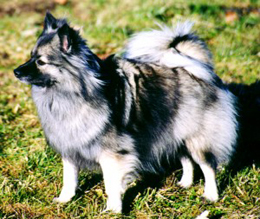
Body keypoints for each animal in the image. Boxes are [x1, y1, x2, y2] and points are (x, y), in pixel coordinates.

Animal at [13, 12, 238, 212]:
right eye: (31, 57)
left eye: (41, 61)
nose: (16, 71)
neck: (71, 92)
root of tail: (194, 66)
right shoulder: (70, 148)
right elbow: (69, 179)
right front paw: (64, 199)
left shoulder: (112, 155)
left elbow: (110, 183)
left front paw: (113, 208)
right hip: (175, 132)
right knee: (187, 160)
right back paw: (185, 183)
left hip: (196, 138)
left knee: (207, 166)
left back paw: (210, 195)